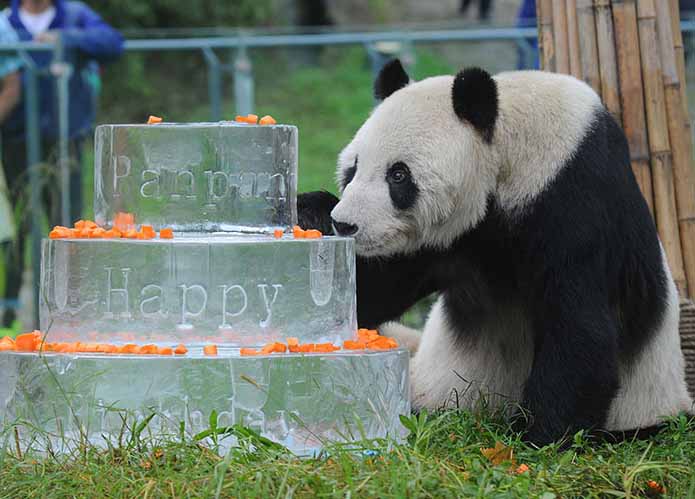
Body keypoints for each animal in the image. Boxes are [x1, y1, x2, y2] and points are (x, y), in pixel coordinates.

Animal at [297, 59, 694, 446]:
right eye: (353, 168)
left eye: (398, 175)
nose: (345, 225)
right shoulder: (447, 239)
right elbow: (371, 295)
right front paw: (310, 213)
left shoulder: (575, 200)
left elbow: (580, 327)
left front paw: (537, 436)